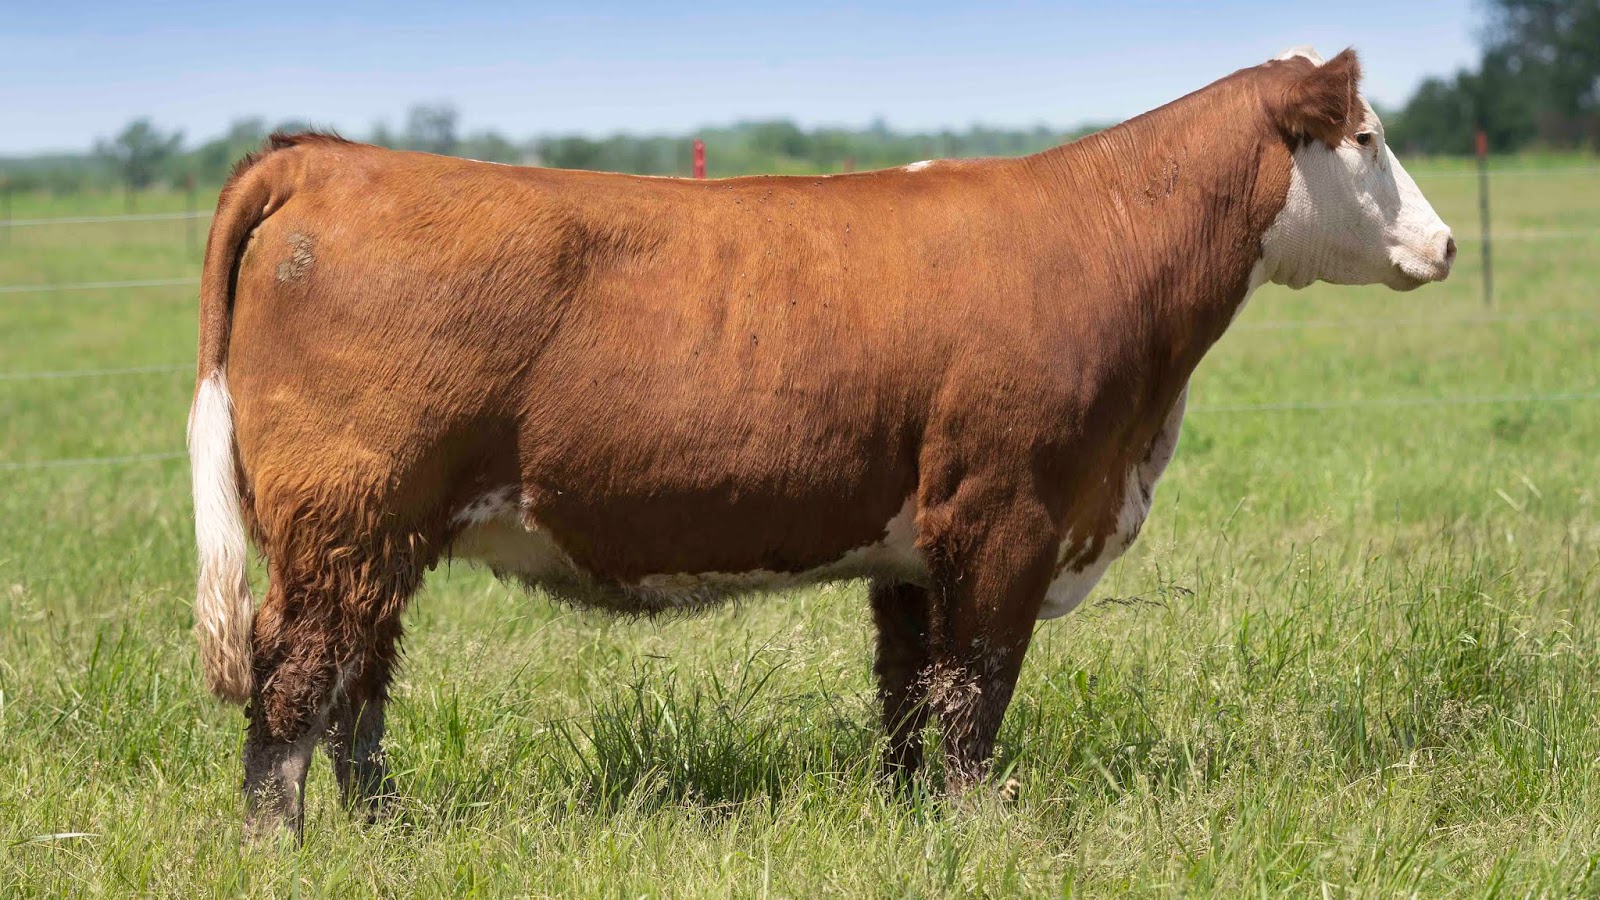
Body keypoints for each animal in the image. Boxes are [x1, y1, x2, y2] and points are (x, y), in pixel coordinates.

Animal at [188, 47, 1453, 838]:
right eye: (1367, 137)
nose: (1442, 244)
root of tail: (329, 154)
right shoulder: (1007, 514)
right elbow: (974, 691)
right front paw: (976, 828)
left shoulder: (915, 544)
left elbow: (907, 693)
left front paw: (906, 819)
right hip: (348, 517)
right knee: (295, 680)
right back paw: (279, 847)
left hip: (377, 538)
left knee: (357, 686)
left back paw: (387, 832)